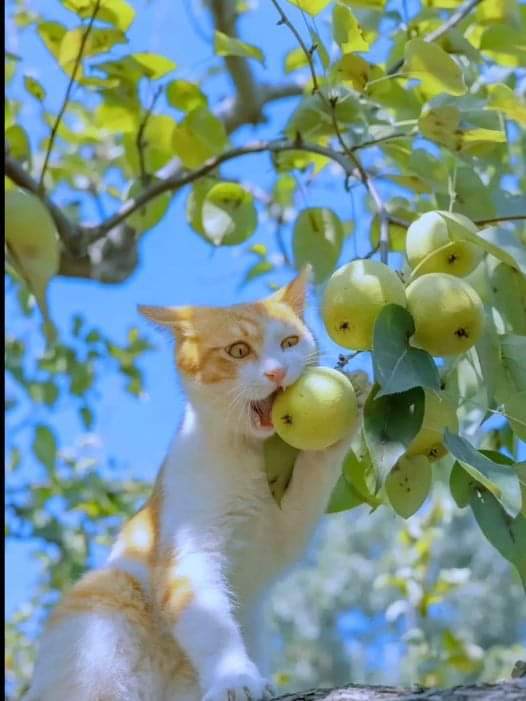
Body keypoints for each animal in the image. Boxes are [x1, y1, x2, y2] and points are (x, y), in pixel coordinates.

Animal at [22, 272, 366, 700]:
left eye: (289, 343)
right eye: (238, 351)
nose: (276, 373)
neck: (248, 453)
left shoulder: (283, 531)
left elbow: (315, 472)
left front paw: (353, 401)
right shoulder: (189, 551)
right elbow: (212, 626)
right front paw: (235, 678)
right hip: (107, 596)